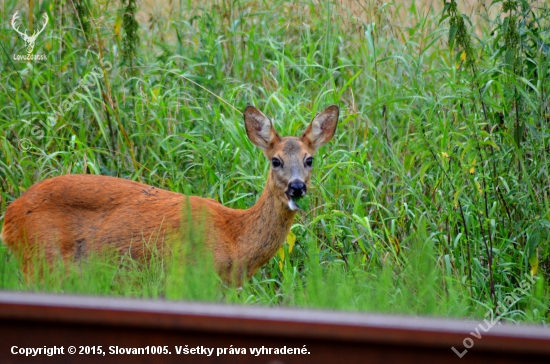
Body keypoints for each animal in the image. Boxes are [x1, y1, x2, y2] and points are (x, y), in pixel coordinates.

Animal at [1, 104, 340, 284]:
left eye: (310, 159)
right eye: (276, 160)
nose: (297, 186)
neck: (234, 238)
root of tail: (10, 215)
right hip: (41, 259)